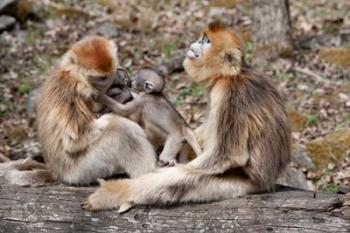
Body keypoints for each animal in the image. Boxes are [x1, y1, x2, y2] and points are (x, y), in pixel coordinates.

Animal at [32, 35, 156, 185]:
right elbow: (75, 140)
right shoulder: (70, 90)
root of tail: (58, 174)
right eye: (100, 78)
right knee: (124, 131)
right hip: (82, 170)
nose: (108, 82)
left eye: (107, 76)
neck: (78, 77)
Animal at [82, 22, 290, 213]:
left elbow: (227, 154)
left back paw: (119, 192)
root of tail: (268, 181)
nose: (196, 42)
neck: (229, 75)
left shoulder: (230, 95)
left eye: (206, 41)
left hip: (241, 182)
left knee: (185, 179)